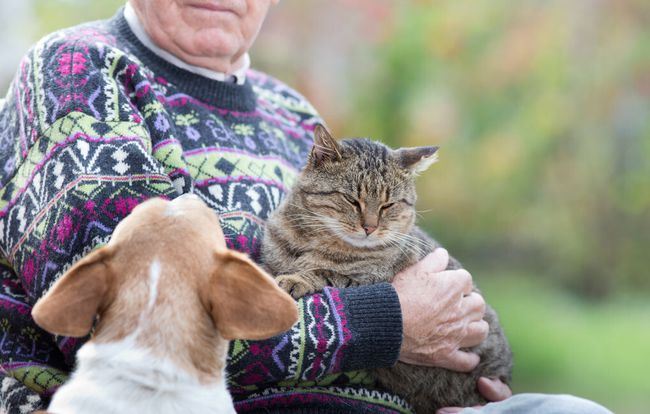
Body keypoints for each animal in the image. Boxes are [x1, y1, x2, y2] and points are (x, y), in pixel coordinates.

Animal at [260, 124, 512, 412]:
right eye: (352, 200)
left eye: (388, 205)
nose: (369, 227)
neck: (313, 240)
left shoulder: (368, 280)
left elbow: (327, 273)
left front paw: (296, 278)